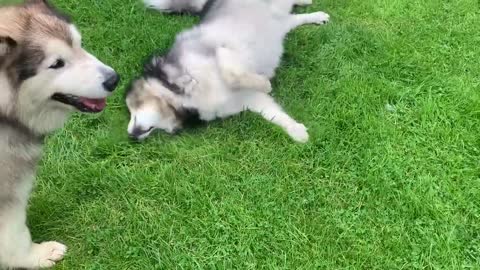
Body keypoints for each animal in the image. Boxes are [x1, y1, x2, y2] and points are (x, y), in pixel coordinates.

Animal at [126, 0, 330, 142]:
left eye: (132, 106)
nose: (131, 135)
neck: (182, 96)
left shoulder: (222, 49)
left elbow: (232, 74)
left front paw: (265, 83)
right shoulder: (247, 99)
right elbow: (274, 114)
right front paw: (296, 130)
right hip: (280, 23)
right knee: (293, 20)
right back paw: (316, 15)